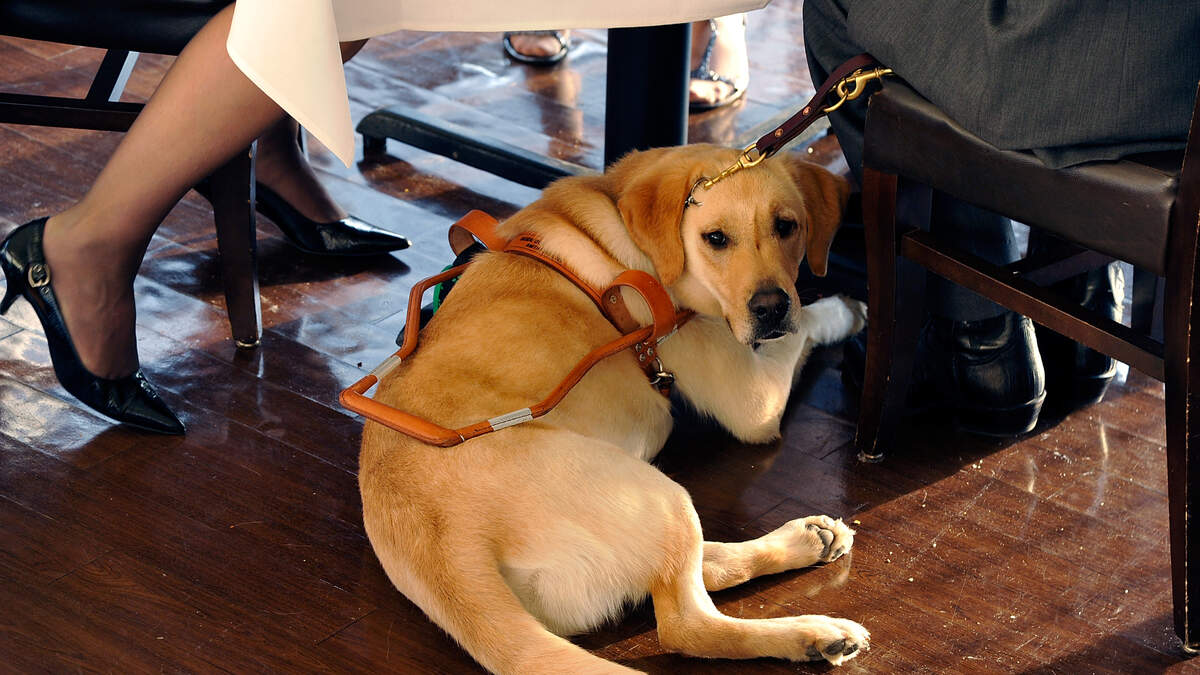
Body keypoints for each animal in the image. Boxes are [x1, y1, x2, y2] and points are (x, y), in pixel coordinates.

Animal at [358, 144, 870, 673]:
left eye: (787, 226)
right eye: (715, 239)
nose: (770, 308)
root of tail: (443, 554)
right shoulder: (752, 398)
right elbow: (806, 326)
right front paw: (844, 311)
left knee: (704, 569)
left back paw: (807, 542)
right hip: (662, 498)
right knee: (688, 624)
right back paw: (811, 633)